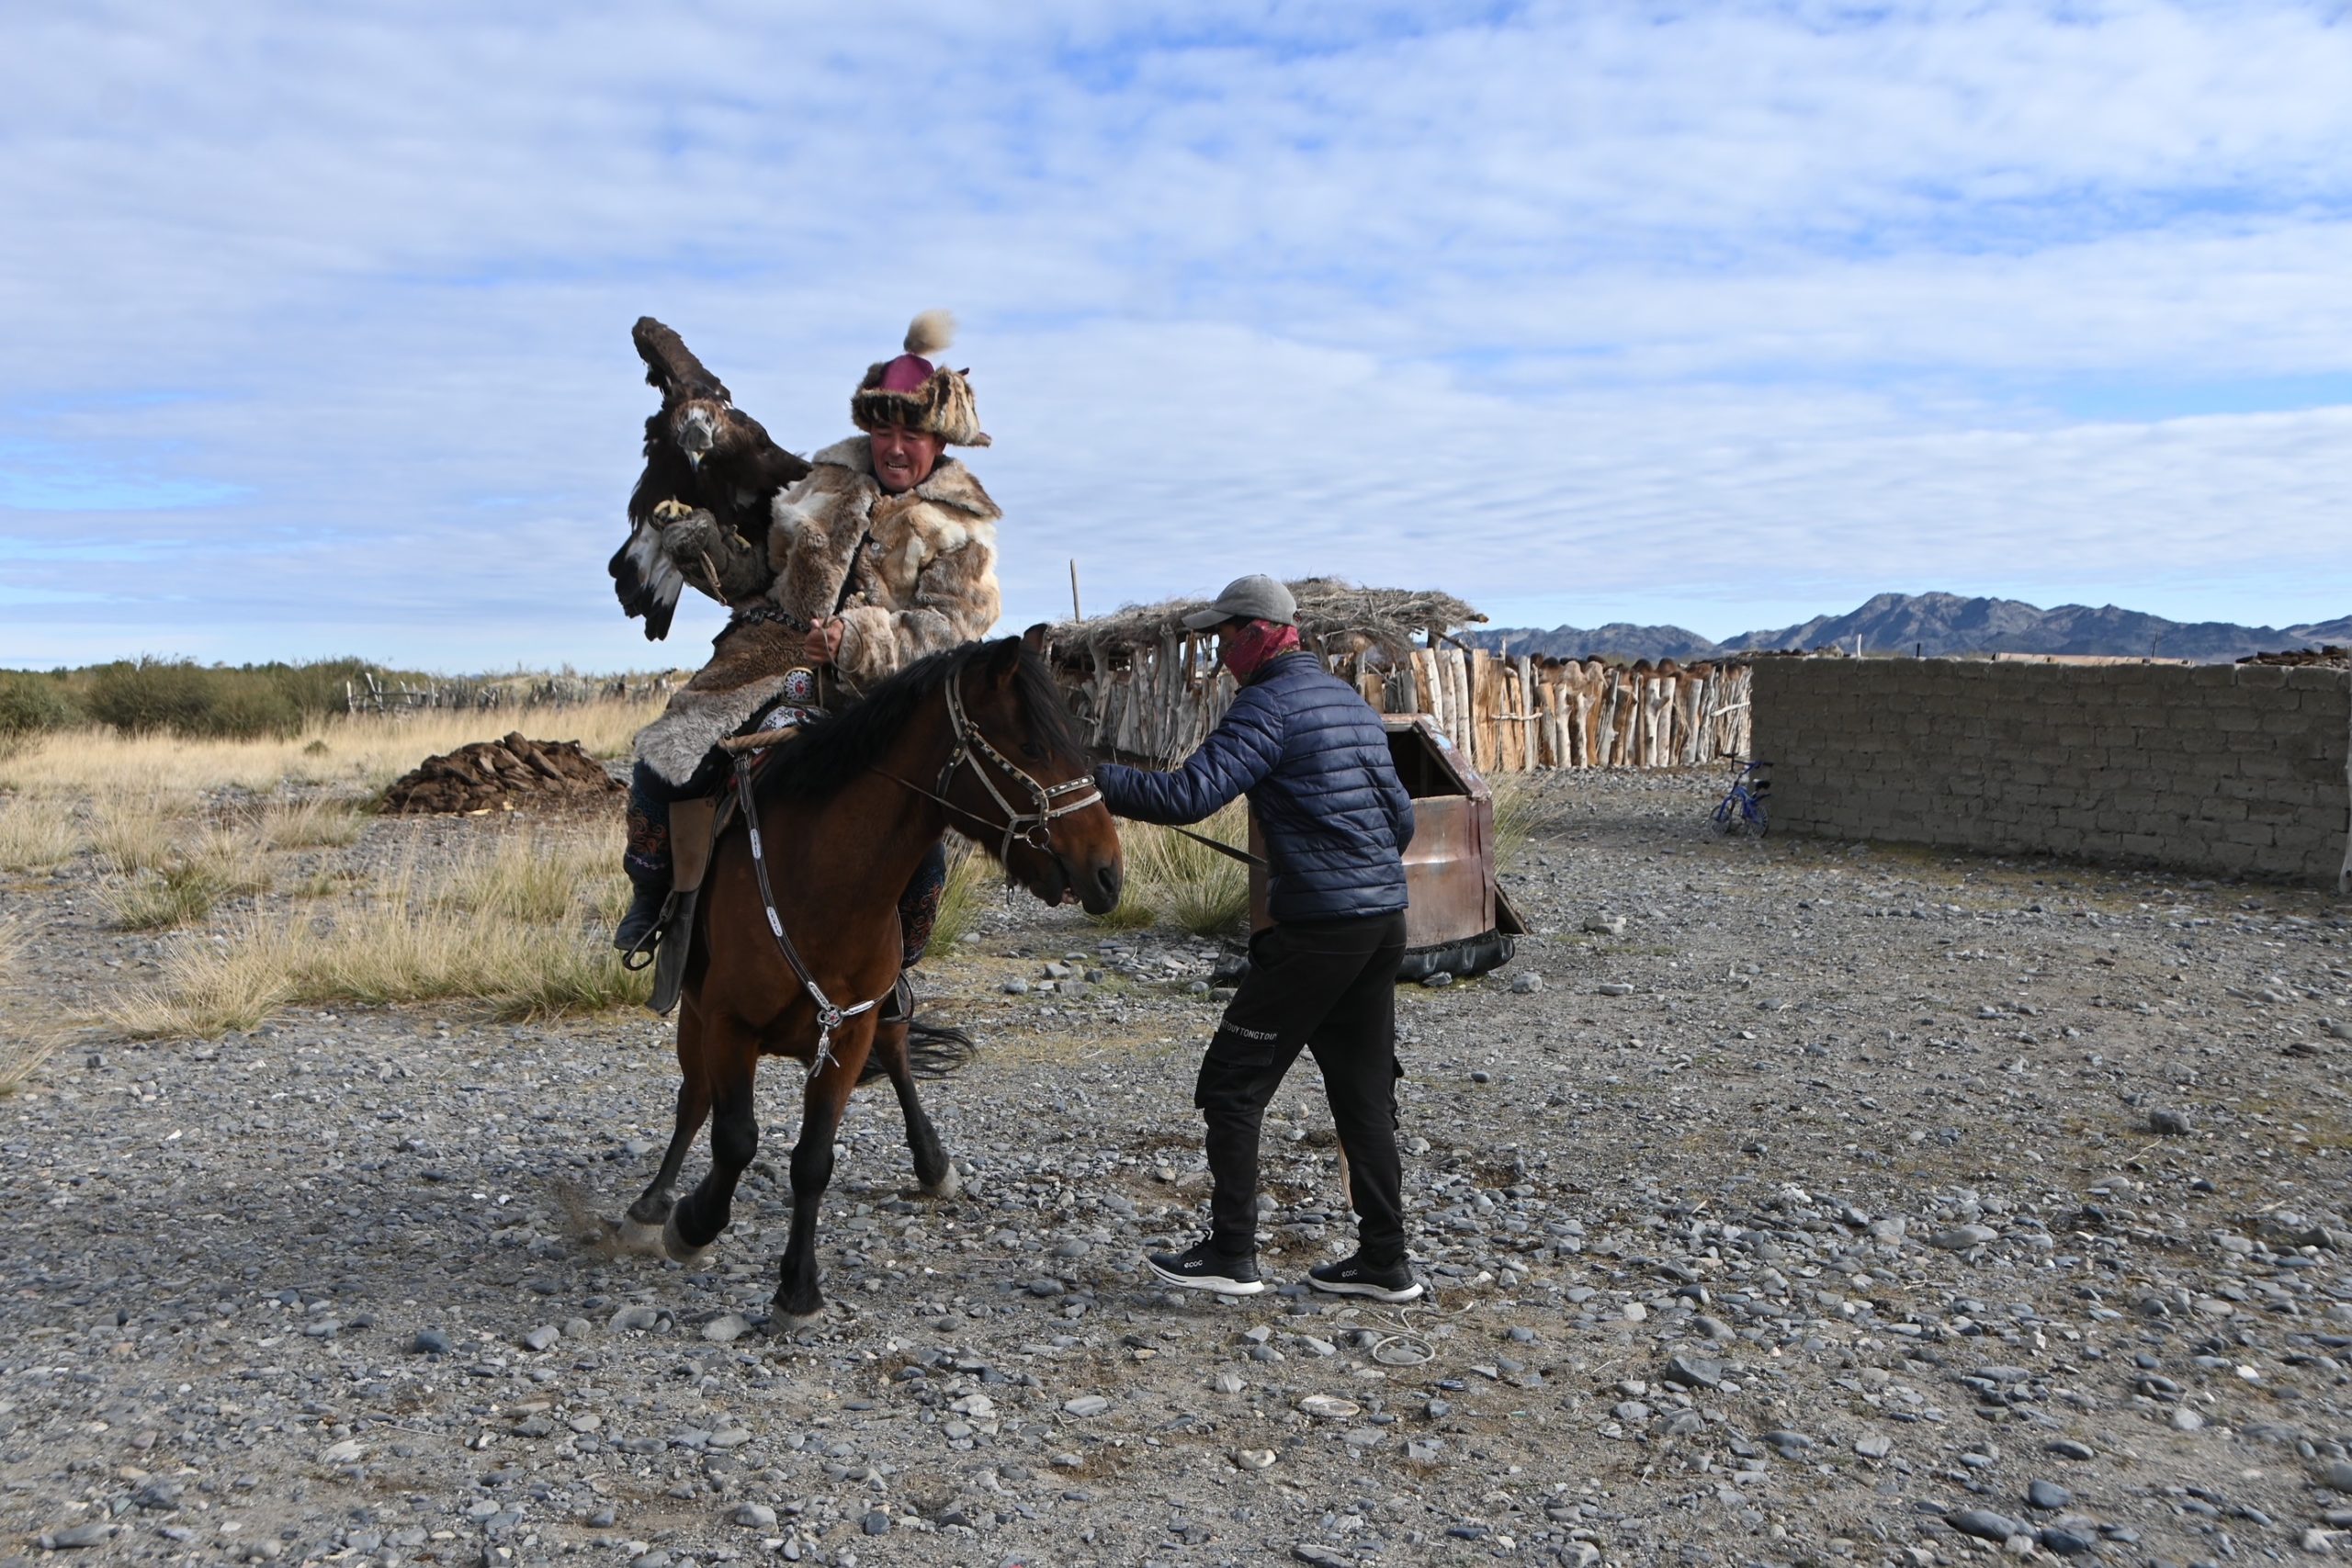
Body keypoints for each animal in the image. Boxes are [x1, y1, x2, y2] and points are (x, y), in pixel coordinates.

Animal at [616, 636, 1123, 1321]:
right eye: (1032, 747)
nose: (1108, 873)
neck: (823, 882)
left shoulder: (849, 1032)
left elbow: (813, 1159)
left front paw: (798, 1287)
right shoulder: (727, 1023)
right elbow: (734, 1137)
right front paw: (692, 1223)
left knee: (899, 1056)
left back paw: (933, 1164)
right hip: (695, 1016)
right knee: (694, 1100)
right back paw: (652, 1205)